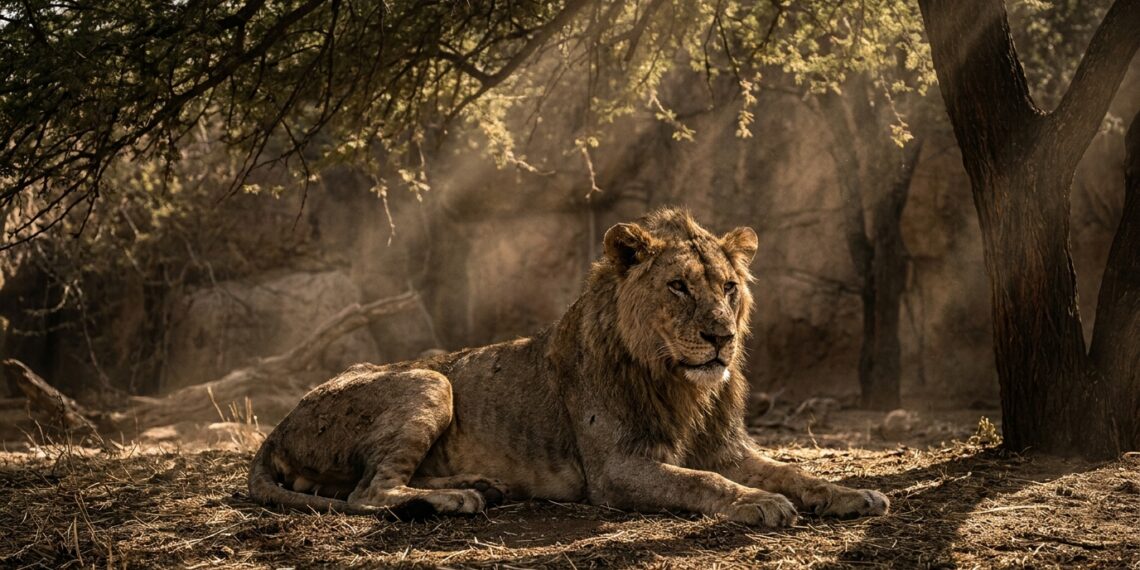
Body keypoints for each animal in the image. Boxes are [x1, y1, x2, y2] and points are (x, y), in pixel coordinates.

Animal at [248, 208, 889, 526]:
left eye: (729, 288)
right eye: (679, 286)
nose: (721, 338)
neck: (680, 385)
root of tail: (277, 426)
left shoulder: (726, 448)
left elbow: (792, 471)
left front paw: (851, 493)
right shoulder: (615, 470)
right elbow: (699, 480)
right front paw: (757, 503)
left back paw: (478, 484)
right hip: (430, 378)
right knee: (367, 493)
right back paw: (458, 501)